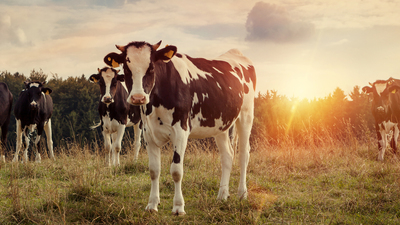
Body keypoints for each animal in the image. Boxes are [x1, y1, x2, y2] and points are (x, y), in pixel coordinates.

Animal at [103, 40, 256, 214]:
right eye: (126, 68)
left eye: (151, 67)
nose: (138, 97)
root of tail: (236, 53)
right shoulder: (149, 134)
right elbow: (154, 170)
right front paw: (152, 204)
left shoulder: (180, 132)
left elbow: (176, 171)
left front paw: (178, 207)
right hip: (220, 124)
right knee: (227, 156)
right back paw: (222, 195)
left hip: (246, 115)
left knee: (243, 154)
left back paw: (242, 194)